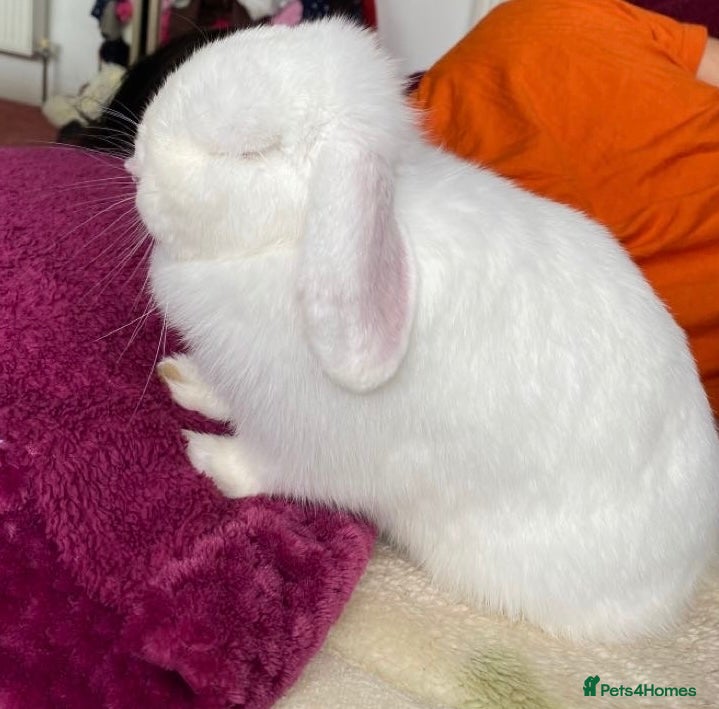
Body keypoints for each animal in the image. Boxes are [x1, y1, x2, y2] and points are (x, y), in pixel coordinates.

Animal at [128, 18, 719, 642]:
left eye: (248, 152)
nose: (136, 162)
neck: (293, 239)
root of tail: (690, 565)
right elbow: (220, 394)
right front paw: (185, 381)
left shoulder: (312, 442)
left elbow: (266, 469)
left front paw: (205, 456)